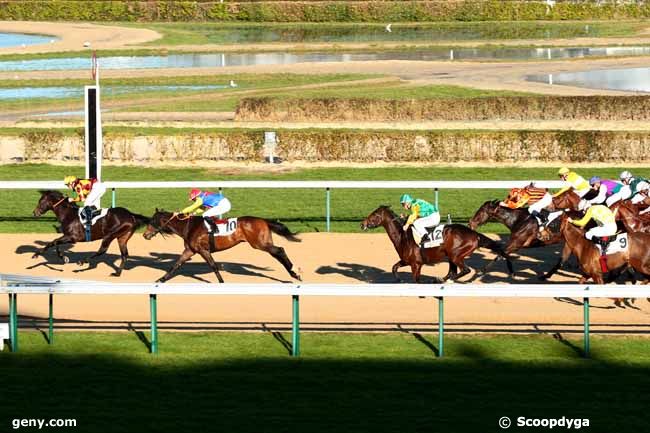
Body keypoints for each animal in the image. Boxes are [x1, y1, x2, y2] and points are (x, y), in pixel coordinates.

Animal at [143, 210, 300, 284]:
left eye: (152, 221)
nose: (145, 235)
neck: (188, 226)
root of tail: (263, 220)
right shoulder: (190, 250)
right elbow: (176, 264)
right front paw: (161, 279)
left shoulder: (203, 250)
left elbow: (213, 265)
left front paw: (221, 282)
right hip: (262, 243)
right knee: (277, 252)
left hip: (259, 244)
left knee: (280, 250)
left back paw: (294, 273)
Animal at [360, 205, 512, 282]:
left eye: (374, 215)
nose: (362, 224)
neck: (402, 236)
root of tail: (475, 234)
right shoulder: (406, 260)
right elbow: (394, 268)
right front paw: (399, 280)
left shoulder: (416, 264)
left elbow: (416, 280)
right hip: (451, 256)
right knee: (452, 271)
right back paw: (441, 279)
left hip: (456, 255)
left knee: (465, 270)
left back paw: (445, 280)